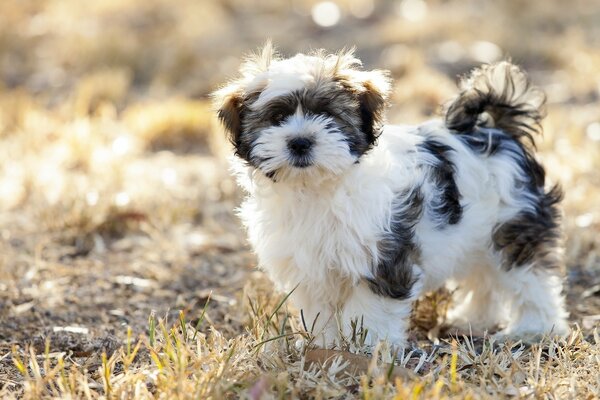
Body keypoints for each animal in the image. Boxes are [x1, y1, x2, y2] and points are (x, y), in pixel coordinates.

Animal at [213, 43, 568, 348]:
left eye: (329, 117)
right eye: (276, 118)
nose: (300, 142)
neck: (317, 187)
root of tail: (496, 132)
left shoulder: (384, 255)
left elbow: (373, 306)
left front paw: (368, 345)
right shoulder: (311, 265)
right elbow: (319, 308)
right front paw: (325, 343)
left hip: (513, 223)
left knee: (528, 276)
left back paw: (535, 328)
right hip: (475, 232)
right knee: (484, 277)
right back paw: (473, 319)